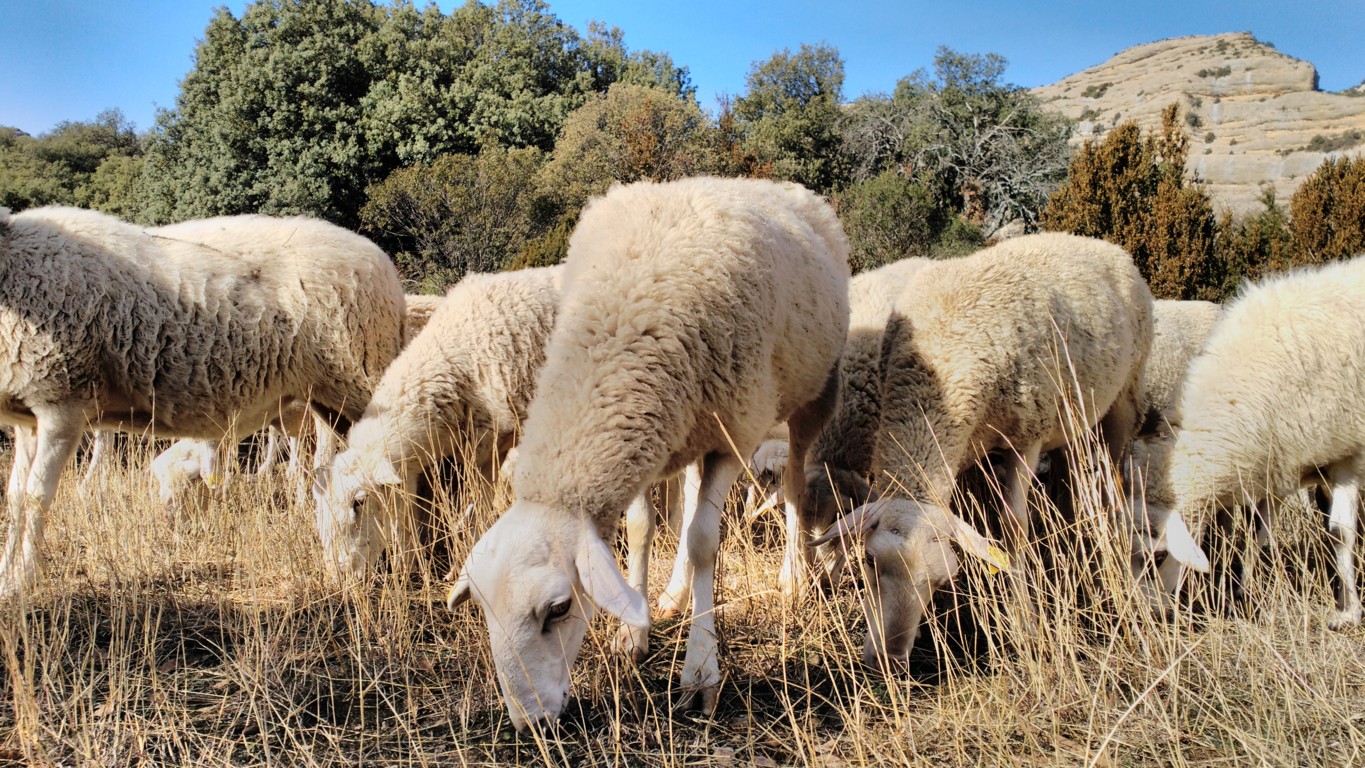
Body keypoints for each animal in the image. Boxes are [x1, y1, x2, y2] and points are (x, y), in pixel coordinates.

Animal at [0, 207, 404, 597]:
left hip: (365, 379)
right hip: (329, 399)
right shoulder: (29, 420)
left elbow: (36, 498)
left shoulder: (61, 407)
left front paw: (24, 580)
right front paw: (6, 579)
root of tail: (383, 264)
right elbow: (16, 497)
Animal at [447, 177, 851, 731]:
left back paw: (794, 576)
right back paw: (675, 594)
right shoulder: (648, 435)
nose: (532, 723)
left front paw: (700, 673)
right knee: (690, 496)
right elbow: (641, 528)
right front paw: (632, 635)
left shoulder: (736, 432)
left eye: (558, 609)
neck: (620, 327)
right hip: (691, 426)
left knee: (791, 482)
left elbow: (704, 542)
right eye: (483, 610)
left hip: (812, 393)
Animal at [813, 231, 1146, 671]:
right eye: (868, 560)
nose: (891, 659)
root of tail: (1093, 241)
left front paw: (1024, 619)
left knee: (1114, 478)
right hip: (1070, 420)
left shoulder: (1027, 438)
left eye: (940, 581)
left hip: (1122, 401)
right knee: (1067, 477)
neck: (945, 353)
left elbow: (1013, 527)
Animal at [1146, 255, 1365, 627]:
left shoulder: (1345, 454)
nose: (1149, 610)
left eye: (1159, 557)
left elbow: (1340, 532)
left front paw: (1348, 610)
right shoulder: (1280, 462)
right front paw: (1243, 591)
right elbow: (1256, 532)